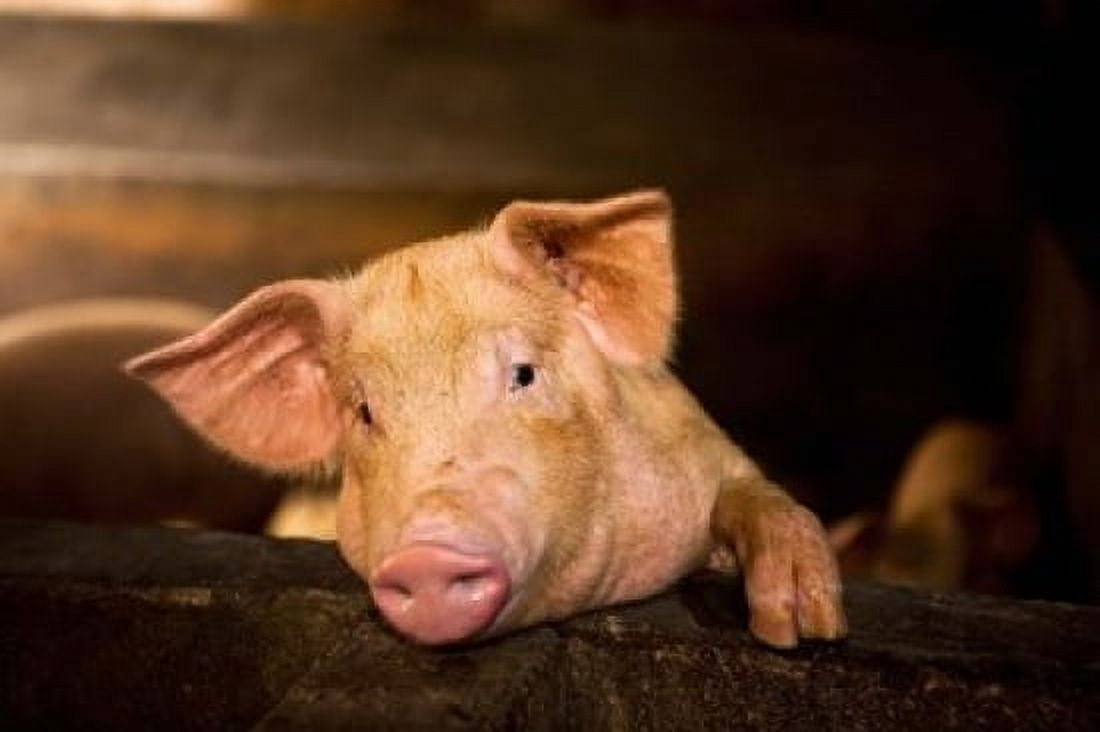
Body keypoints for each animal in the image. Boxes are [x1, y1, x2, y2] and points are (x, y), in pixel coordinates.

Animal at [125, 190, 846, 648]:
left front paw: (803, 631)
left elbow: (757, 494)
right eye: (365, 412)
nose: (428, 556)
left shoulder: (704, 444)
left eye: (523, 373)